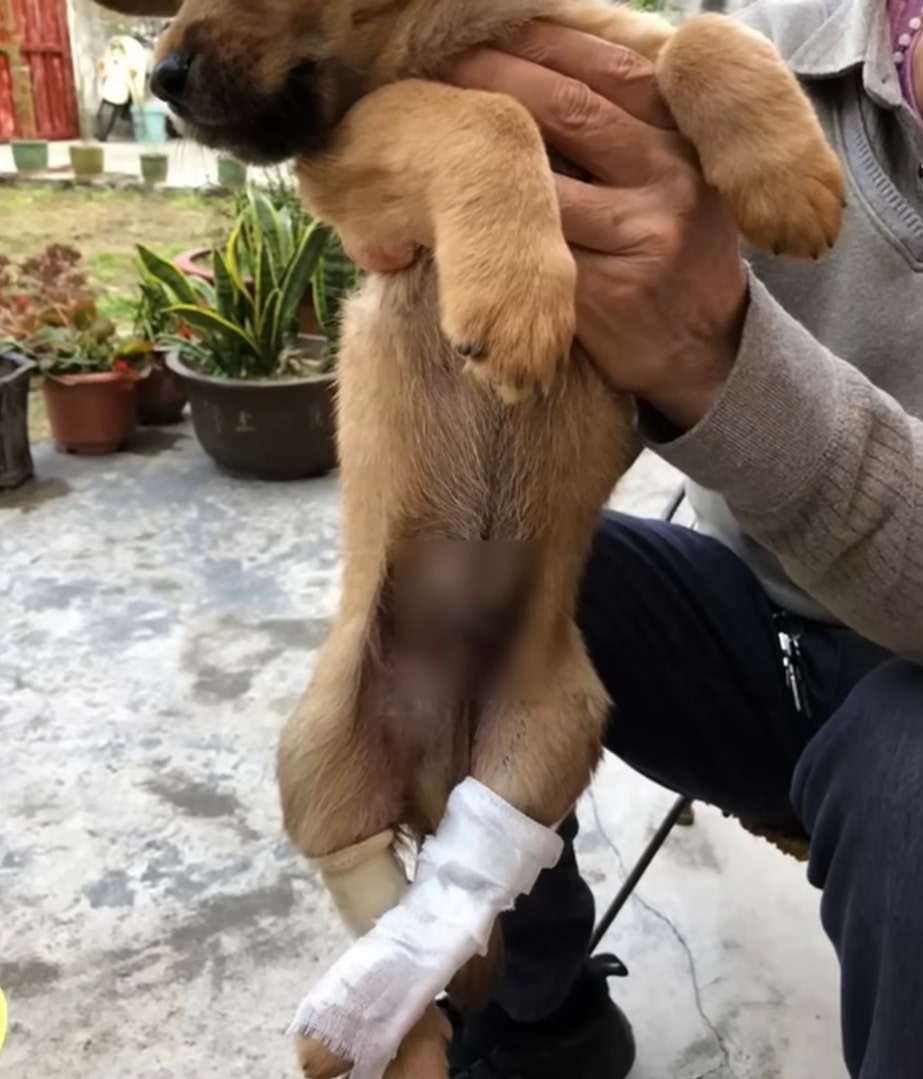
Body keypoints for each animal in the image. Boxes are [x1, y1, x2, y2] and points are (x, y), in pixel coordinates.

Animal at [92, 4, 846, 1074]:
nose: (161, 78)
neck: (449, 30)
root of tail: (430, 761)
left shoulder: (625, 60)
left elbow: (708, 36)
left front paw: (789, 177)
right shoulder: (352, 164)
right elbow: (478, 112)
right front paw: (522, 295)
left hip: (542, 751)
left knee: (473, 886)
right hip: (319, 756)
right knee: (369, 883)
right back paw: (365, 1038)